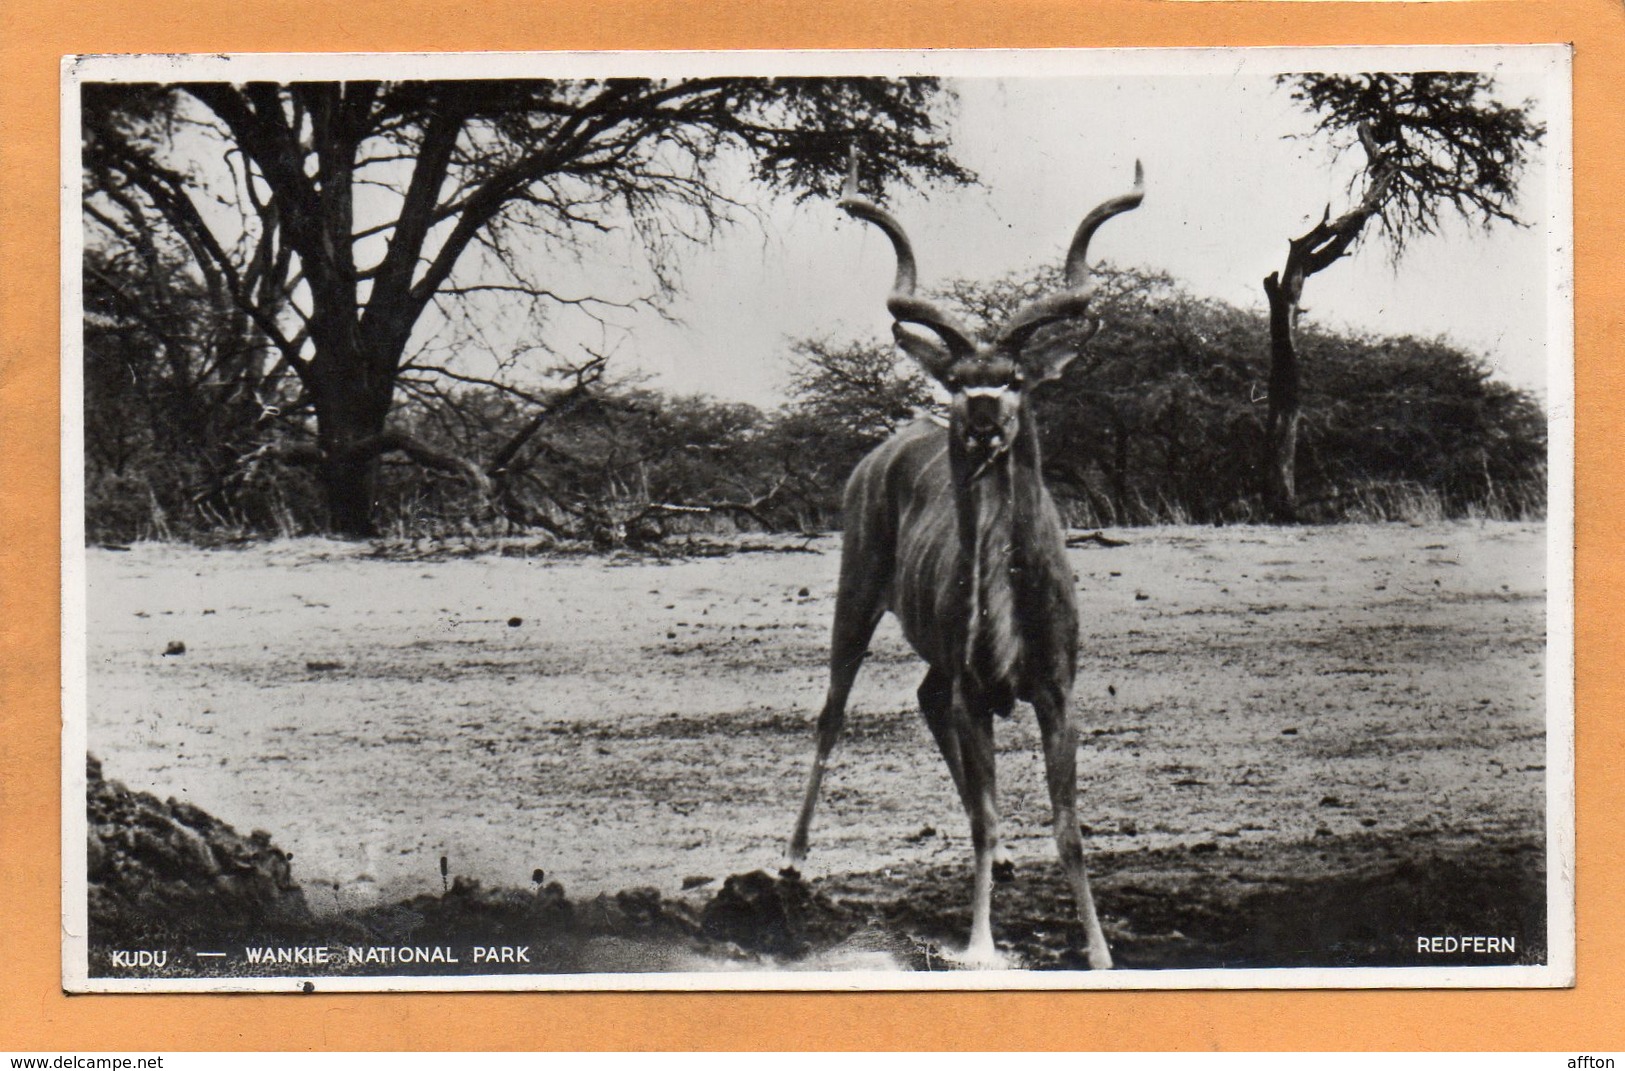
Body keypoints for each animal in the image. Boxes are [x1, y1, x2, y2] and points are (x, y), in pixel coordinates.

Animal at [786, 152, 1144, 975]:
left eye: (1013, 378)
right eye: (958, 378)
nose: (981, 418)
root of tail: (878, 455)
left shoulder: (1054, 694)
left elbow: (1069, 826)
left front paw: (1099, 949)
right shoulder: (975, 693)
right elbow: (980, 817)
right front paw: (979, 944)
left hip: (935, 662)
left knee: (921, 700)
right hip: (855, 600)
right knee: (831, 711)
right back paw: (791, 861)